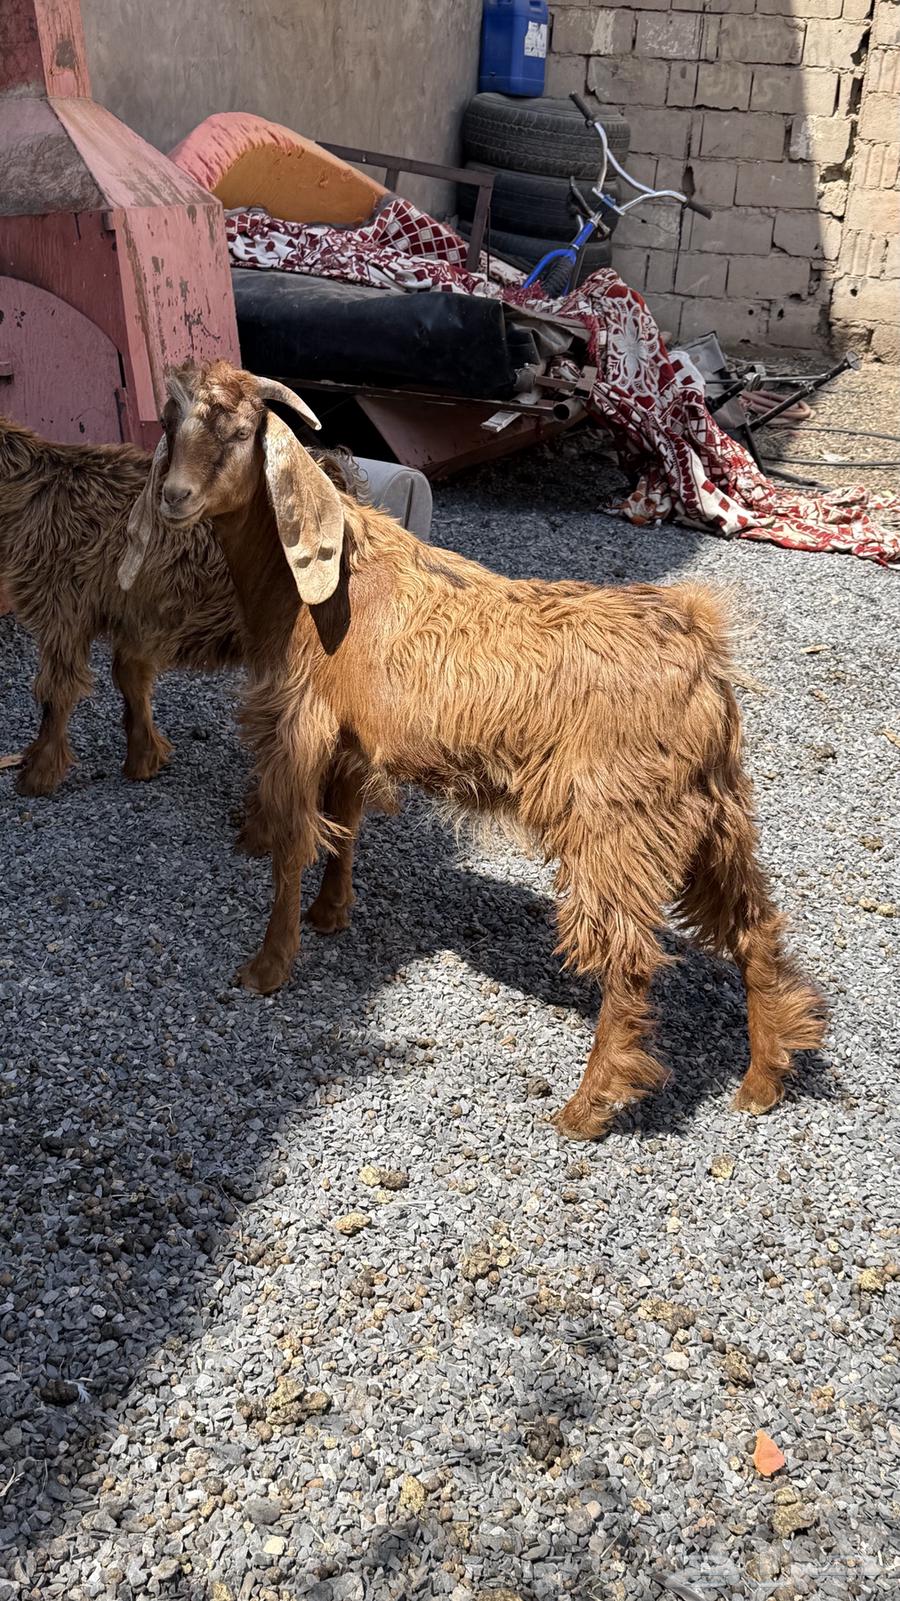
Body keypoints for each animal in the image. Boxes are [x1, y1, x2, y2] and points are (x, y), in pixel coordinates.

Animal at [121, 360, 826, 1139]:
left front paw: (268, 967)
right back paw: (762, 1077)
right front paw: (331, 915)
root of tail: (702, 649)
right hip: (713, 811)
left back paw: (590, 1104)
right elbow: (346, 828)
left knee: (630, 956)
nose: (175, 497)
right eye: (169, 420)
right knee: (755, 927)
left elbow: (290, 849)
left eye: (242, 431)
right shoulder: (353, 741)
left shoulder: (299, 729)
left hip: (618, 821)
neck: (314, 590)